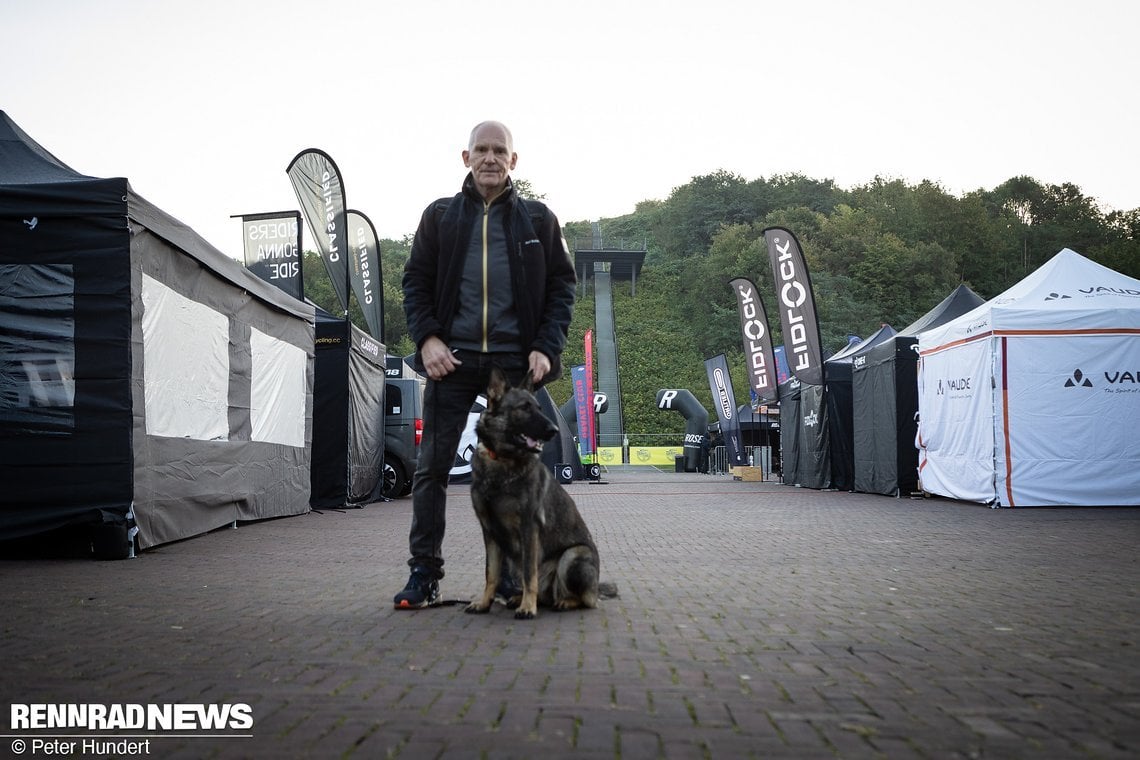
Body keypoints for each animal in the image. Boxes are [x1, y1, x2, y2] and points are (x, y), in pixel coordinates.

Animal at [465, 371, 606, 619]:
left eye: (540, 408)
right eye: (524, 408)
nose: (554, 430)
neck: (502, 462)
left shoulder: (528, 529)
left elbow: (529, 574)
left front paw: (528, 608)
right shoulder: (490, 533)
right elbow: (491, 574)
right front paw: (484, 603)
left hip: (572, 556)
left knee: (583, 599)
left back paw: (561, 602)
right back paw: (520, 598)